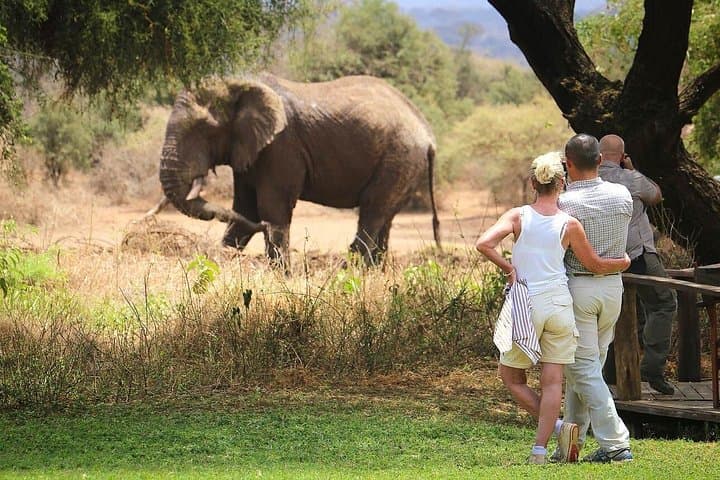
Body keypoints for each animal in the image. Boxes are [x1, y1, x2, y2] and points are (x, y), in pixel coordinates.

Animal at [159, 73, 440, 268]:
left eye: (204, 129)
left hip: (400, 158)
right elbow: (245, 208)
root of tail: (428, 134)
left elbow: (272, 207)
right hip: (405, 163)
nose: (261, 228)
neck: (240, 82)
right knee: (385, 218)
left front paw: (280, 275)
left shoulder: (282, 147)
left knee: (372, 212)